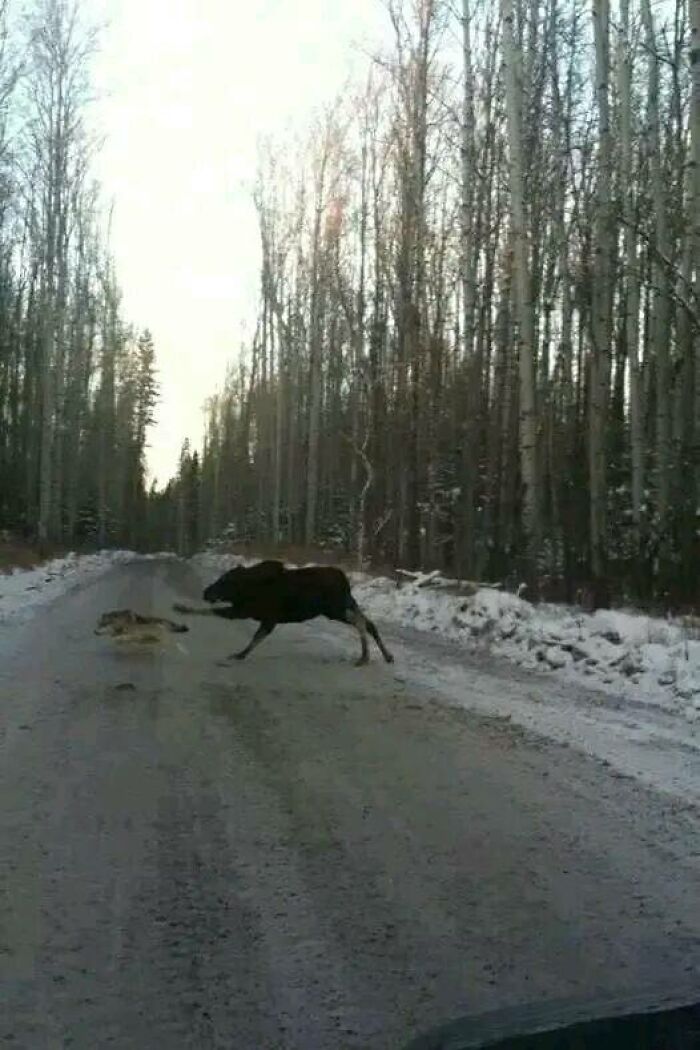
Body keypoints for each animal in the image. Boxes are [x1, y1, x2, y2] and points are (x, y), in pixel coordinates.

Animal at [175, 558, 394, 663]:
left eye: (224, 581)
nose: (206, 592)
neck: (245, 589)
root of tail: (345, 580)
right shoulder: (258, 616)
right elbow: (256, 639)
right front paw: (240, 654)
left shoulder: (252, 614)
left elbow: (252, 636)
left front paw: (181, 608)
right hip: (342, 606)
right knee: (369, 623)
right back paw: (386, 656)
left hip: (335, 608)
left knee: (361, 622)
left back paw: (365, 657)